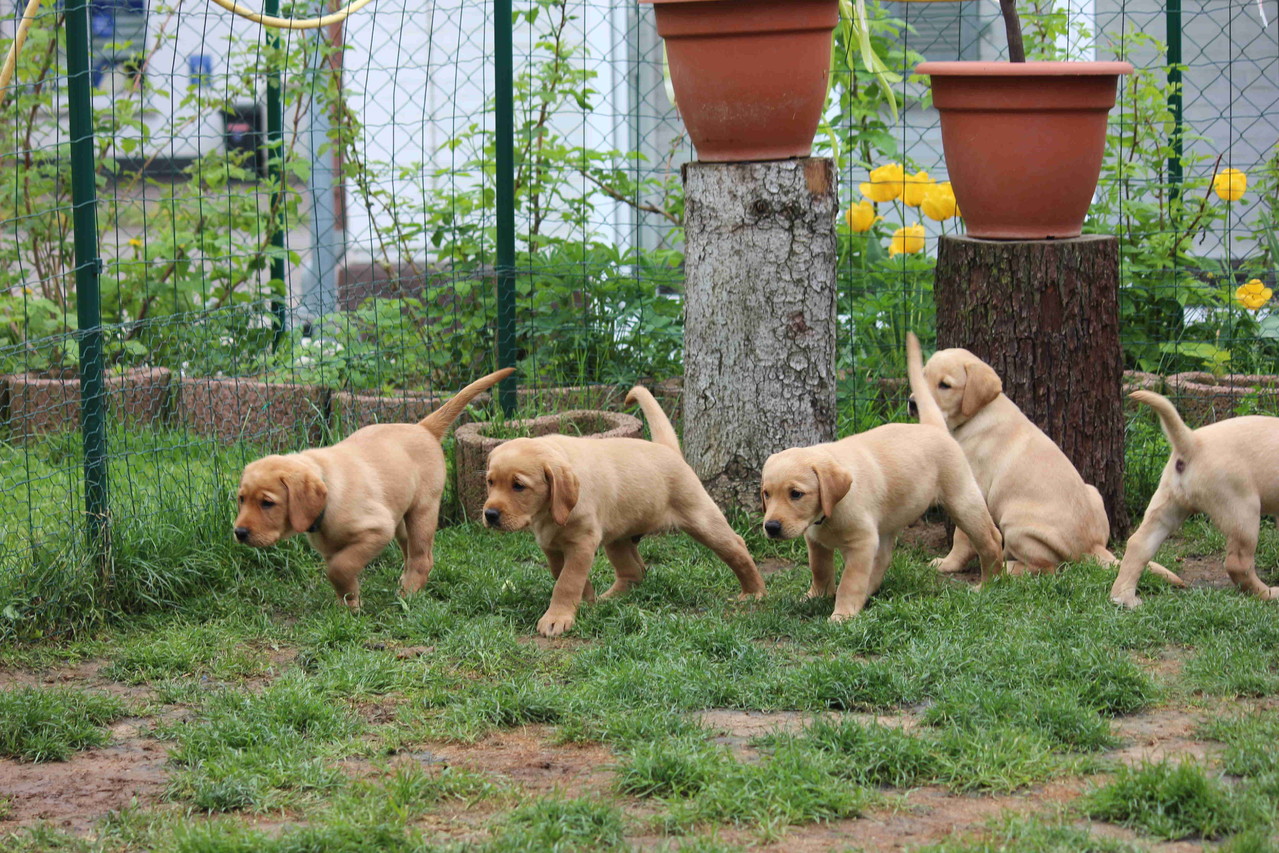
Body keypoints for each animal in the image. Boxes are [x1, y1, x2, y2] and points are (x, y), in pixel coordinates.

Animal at [232, 368, 511, 606]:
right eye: (241, 499)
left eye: (267, 503)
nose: (239, 532)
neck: (328, 491)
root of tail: (423, 428)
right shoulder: (332, 548)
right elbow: (341, 576)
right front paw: (348, 605)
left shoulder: (377, 529)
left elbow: (339, 568)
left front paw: (351, 604)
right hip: (401, 517)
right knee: (409, 552)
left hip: (422, 509)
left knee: (422, 557)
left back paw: (408, 594)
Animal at [480, 383, 757, 636]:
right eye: (490, 482)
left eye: (518, 486)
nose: (490, 515)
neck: (548, 513)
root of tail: (667, 449)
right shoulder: (552, 547)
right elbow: (566, 576)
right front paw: (585, 602)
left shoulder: (582, 543)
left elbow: (567, 582)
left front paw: (557, 618)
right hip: (618, 537)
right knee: (634, 571)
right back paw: (610, 599)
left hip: (701, 517)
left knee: (736, 546)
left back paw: (754, 592)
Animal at [757, 332, 997, 621]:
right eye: (766, 494)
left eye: (796, 494)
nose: (771, 527)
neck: (829, 512)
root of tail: (932, 426)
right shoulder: (815, 541)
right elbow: (820, 570)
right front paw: (816, 596)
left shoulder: (862, 543)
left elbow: (850, 581)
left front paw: (842, 614)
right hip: (888, 524)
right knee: (883, 561)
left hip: (962, 500)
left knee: (991, 539)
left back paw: (991, 583)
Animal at [915, 345, 1181, 588]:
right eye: (922, 375)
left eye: (945, 385)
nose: (912, 403)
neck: (978, 415)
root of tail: (1092, 547)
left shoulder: (971, 489)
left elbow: (963, 536)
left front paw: (948, 563)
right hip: (1092, 491)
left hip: (1016, 522)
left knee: (1047, 568)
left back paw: (1009, 567)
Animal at [1110, 391, 1279, 611]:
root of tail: (1193, 441)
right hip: (1242, 510)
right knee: (1237, 563)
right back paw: (1268, 594)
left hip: (1168, 505)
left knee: (1138, 544)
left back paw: (1124, 598)